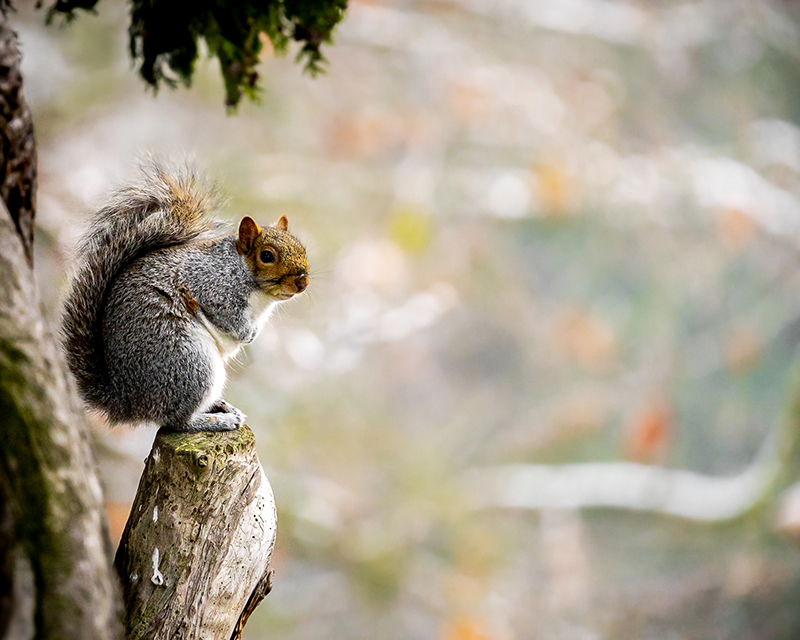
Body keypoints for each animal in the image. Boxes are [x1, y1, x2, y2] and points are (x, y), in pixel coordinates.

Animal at [61, 162, 310, 432]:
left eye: (302, 248)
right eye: (266, 256)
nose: (303, 282)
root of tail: (128, 401)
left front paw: (251, 335)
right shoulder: (212, 288)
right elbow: (228, 319)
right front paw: (245, 334)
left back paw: (219, 406)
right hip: (189, 363)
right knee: (177, 421)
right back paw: (217, 421)